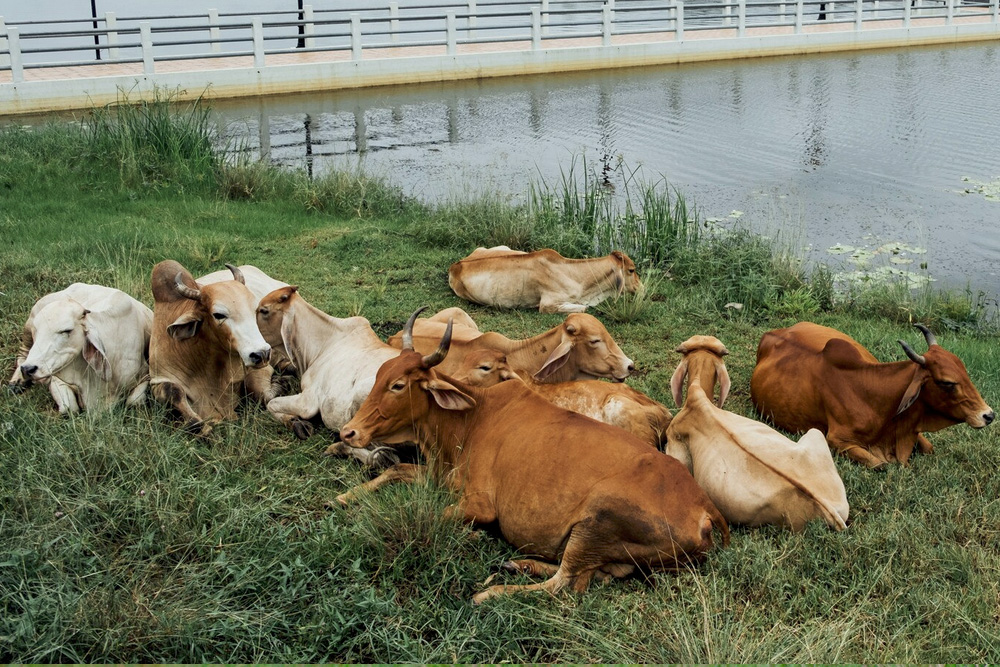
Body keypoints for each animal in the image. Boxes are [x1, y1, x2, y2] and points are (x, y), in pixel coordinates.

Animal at [8, 283, 152, 413]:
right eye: (37, 330)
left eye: (67, 330)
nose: (28, 369)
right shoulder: (57, 378)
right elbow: (69, 408)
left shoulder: (144, 375)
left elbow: (134, 402)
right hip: (28, 327)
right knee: (22, 353)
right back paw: (16, 382)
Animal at [149, 261, 278, 436]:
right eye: (218, 315)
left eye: (255, 310)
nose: (262, 354)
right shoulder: (158, 380)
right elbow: (178, 397)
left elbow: (266, 396)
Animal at [255, 285, 411, 468]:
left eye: (264, 310)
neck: (323, 344)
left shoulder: (308, 403)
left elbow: (271, 404)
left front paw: (296, 423)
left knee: (382, 457)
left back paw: (336, 448)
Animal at [750, 322, 994, 468]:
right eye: (947, 383)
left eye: (965, 371)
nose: (988, 415)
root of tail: (771, 333)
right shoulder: (837, 441)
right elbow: (880, 465)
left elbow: (929, 447)